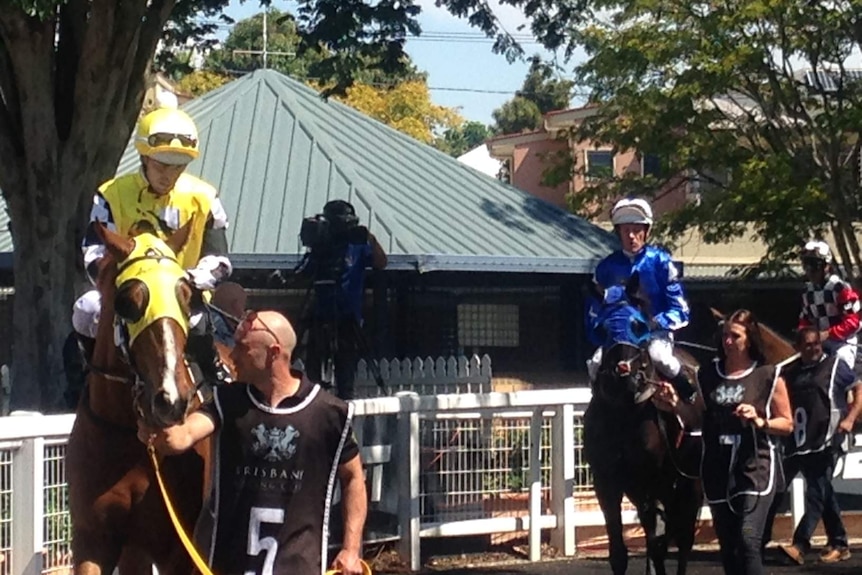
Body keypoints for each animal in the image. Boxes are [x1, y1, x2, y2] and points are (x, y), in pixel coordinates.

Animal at [66, 224, 233, 575]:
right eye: (129, 302)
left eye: (186, 298)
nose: (172, 398)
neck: (127, 434)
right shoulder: (93, 538)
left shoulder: (181, 550)